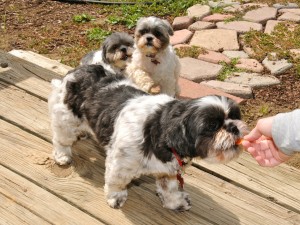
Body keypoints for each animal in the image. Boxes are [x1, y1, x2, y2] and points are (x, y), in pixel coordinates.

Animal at [48, 64, 247, 211]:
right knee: (61, 139)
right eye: (212, 126)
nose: (233, 127)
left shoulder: (168, 171)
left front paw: (176, 202)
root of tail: (77, 71)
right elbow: (116, 182)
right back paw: (63, 155)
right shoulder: (121, 165)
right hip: (66, 120)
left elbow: (169, 188)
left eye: (235, 115)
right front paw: (115, 197)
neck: (158, 131)